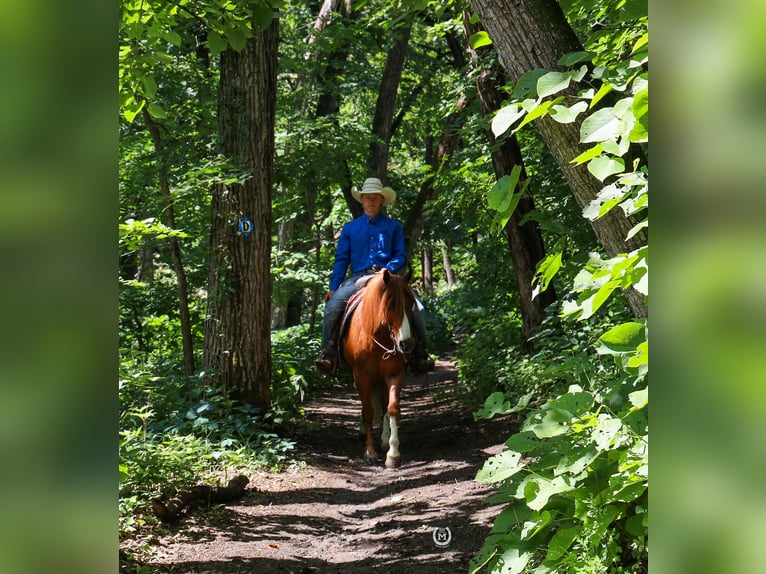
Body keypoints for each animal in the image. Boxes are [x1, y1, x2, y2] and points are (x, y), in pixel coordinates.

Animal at [344, 268, 416, 468]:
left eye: (411, 304)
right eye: (391, 305)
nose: (406, 344)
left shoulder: (395, 375)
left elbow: (392, 408)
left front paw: (393, 453)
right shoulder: (361, 377)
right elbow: (367, 411)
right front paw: (369, 452)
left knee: (383, 405)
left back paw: (384, 440)